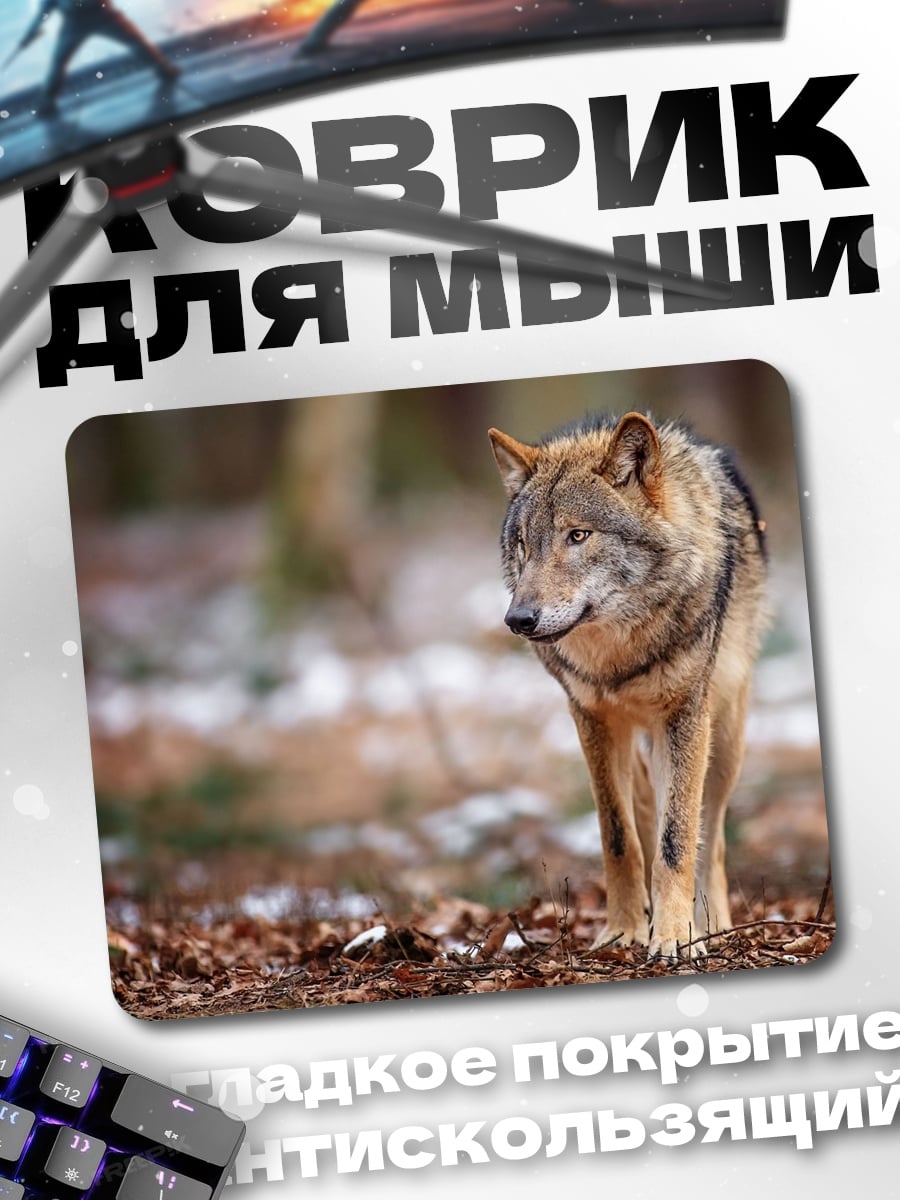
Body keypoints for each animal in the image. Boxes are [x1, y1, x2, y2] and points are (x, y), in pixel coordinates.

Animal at [489, 411, 767, 960]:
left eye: (578, 535)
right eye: (524, 544)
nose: (518, 619)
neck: (620, 654)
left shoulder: (685, 716)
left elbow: (677, 840)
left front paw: (677, 936)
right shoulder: (591, 719)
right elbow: (618, 837)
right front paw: (623, 931)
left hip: (722, 740)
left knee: (712, 835)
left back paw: (712, 923)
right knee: (644, 814)